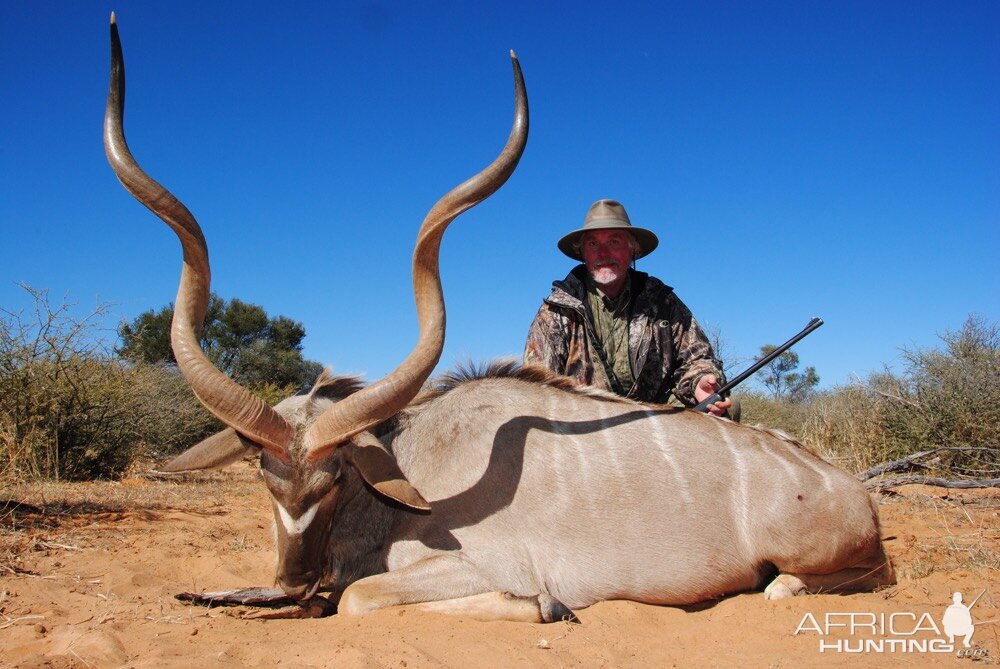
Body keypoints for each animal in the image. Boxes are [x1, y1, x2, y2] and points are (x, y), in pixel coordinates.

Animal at [105, 15, 896, 620]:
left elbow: (360, 597)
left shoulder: (472, 564)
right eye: (265, 476)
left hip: (820, 557)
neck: (413, 469)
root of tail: (854, 493)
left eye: (335, 479)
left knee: (807, 583)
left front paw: (545, 605)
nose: (295, 582)